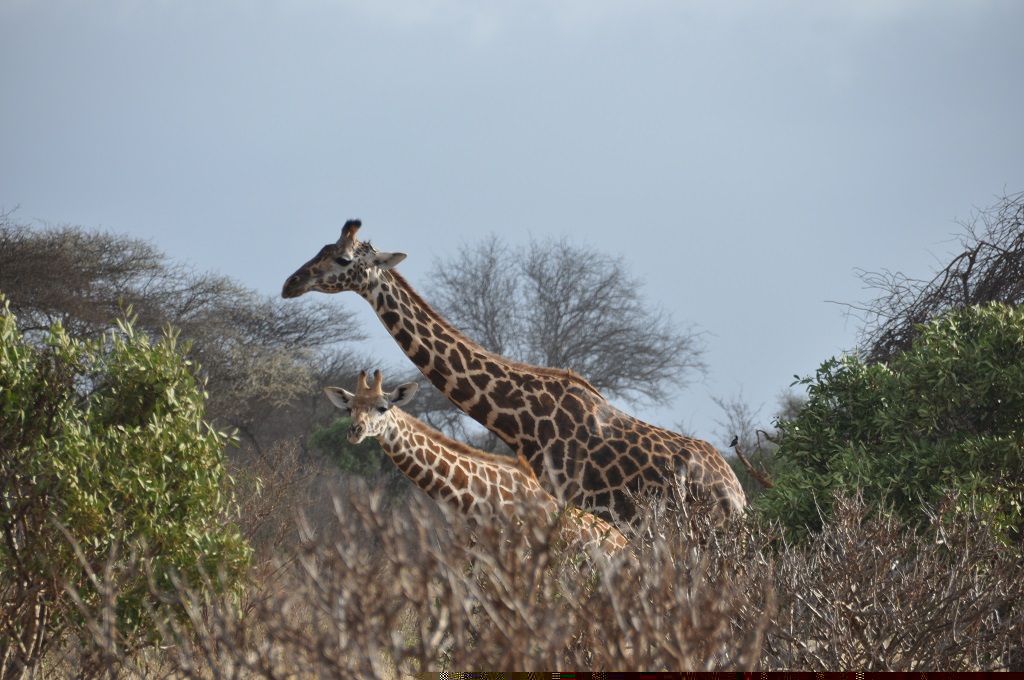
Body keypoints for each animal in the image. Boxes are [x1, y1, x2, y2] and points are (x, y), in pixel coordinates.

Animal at [283, 220, 746, 529]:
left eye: (342, 258)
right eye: (321, 248)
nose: (291, 283)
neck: (524, 423)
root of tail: (737, 496)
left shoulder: (567, 504)